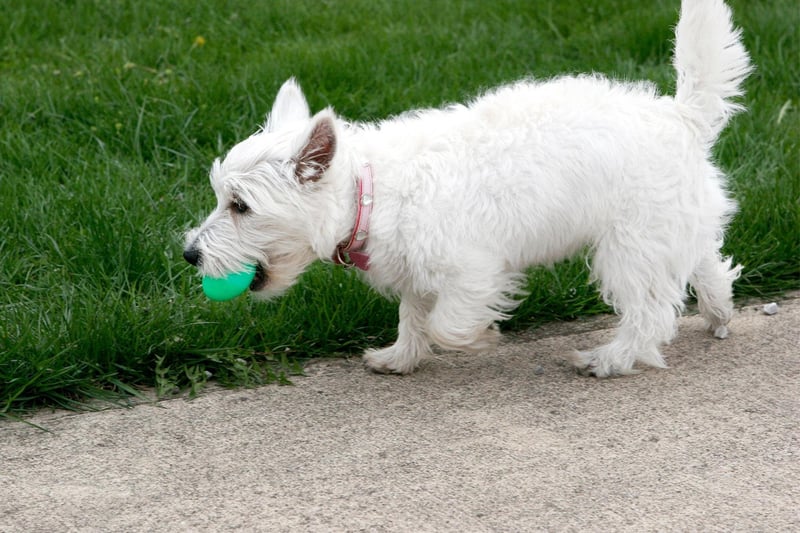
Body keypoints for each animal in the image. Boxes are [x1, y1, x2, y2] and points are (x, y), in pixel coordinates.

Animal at [186, 0, 752, 376]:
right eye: (222, 199)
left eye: (240, 206)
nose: (190, 254)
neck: (371, 192)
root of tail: (681, 115)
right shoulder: (415, 271)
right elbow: (413, 316)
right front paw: (399, 357)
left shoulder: (473, 270)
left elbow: (445, 322)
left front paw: (480, 338)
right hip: (669, 229)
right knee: (708, 263)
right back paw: (719, 312)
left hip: (629, 246)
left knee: (651, 311)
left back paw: (610, 359)